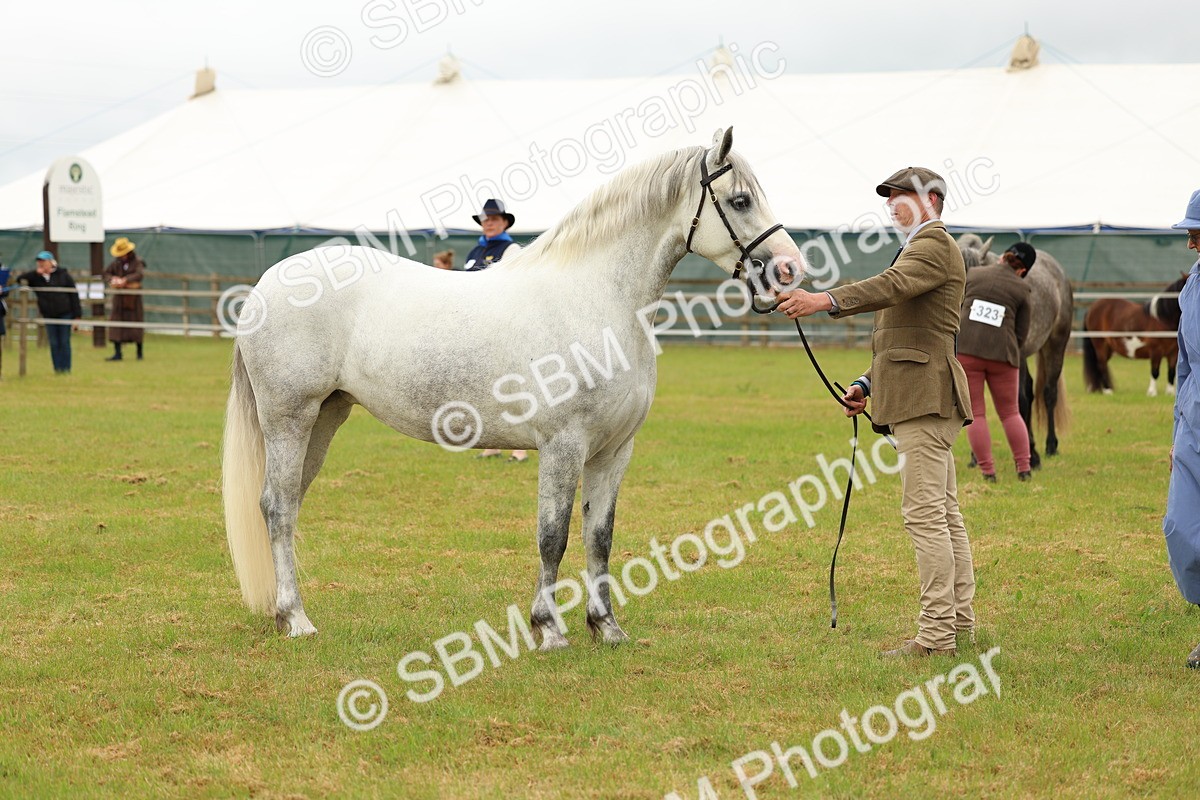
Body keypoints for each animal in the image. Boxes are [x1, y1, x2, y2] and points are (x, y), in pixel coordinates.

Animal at [221, 128, 803, 643]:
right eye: (741, 199)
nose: (789, 269)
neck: (595, 299)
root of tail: (266, 286)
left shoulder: (614, 451)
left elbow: (600, 537)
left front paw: (606, 627)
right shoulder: (564, 446)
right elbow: (554, 537)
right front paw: (548, 629)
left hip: (325, 417)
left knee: (288, 503)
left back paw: (284, 613)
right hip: (290, 417)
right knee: (276, 507)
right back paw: (296, 619)